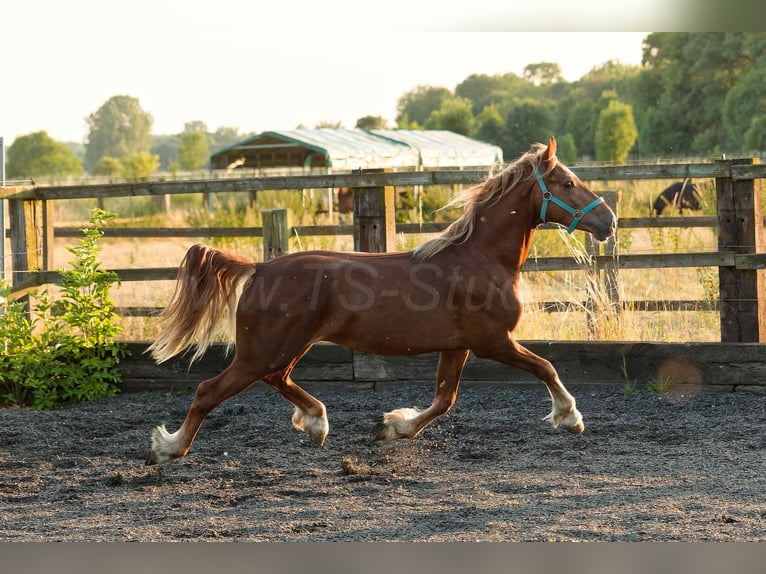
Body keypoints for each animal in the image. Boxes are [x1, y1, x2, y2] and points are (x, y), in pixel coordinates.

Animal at [145, 137, 616, 466]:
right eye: (568, 183)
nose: (608, 220)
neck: (479, 258)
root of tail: (259, 268)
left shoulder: (457, 346)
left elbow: (444, 399)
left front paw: (391, 426)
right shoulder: (493, 342)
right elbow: (546, 367)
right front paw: (570, 417)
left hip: (282, 348)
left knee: (277, 379)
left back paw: (316, 423)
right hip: (263, 350)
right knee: (209, 390)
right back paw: (167, 449)